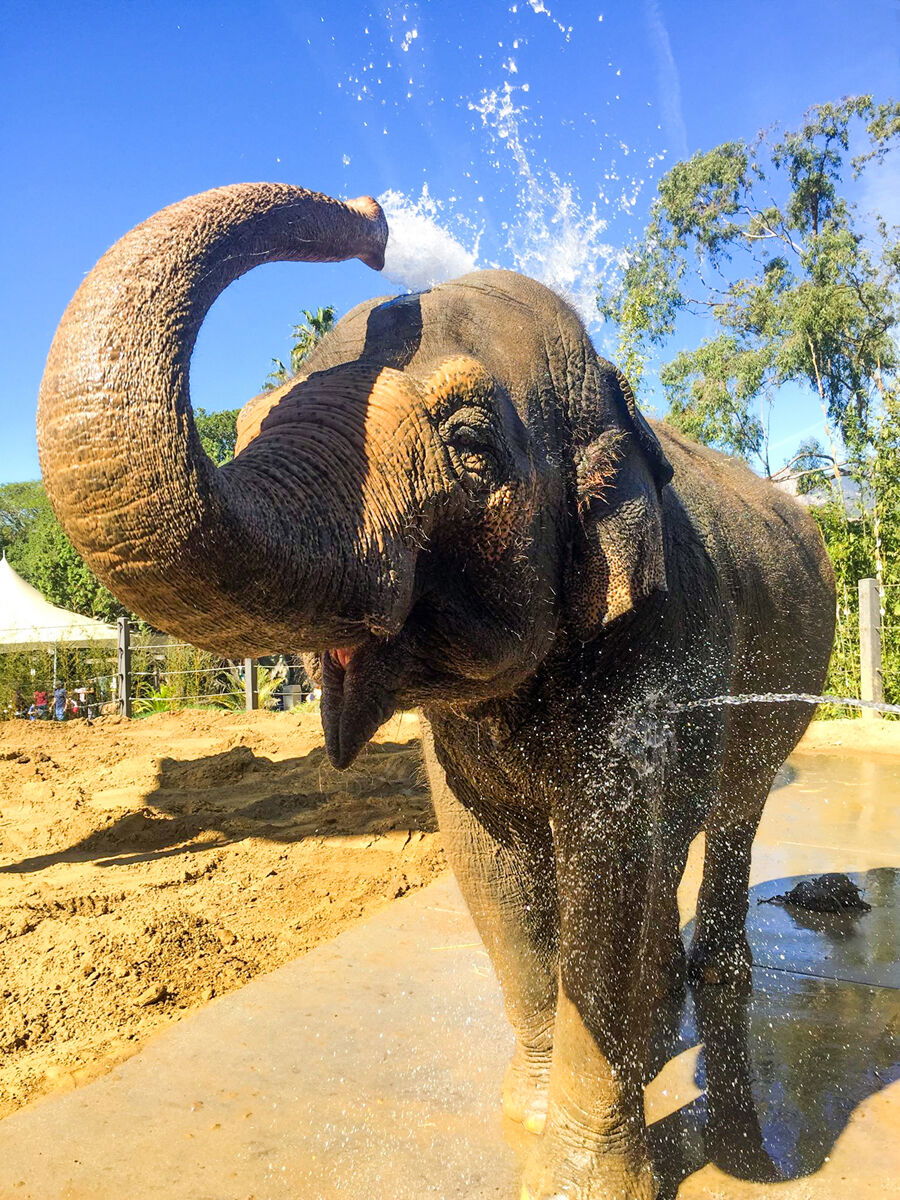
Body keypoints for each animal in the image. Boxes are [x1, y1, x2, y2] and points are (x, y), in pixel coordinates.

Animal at [37, 183, 835, 1199]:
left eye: (468, 444)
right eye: (248, 425)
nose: (376, 220)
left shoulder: (661, 643)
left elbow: (607, 866)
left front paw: (581, 1179)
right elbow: (492, 869)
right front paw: (525, 1116)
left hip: (784, 690)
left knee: (735, 813)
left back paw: (716, 987)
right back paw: (661, 1023)